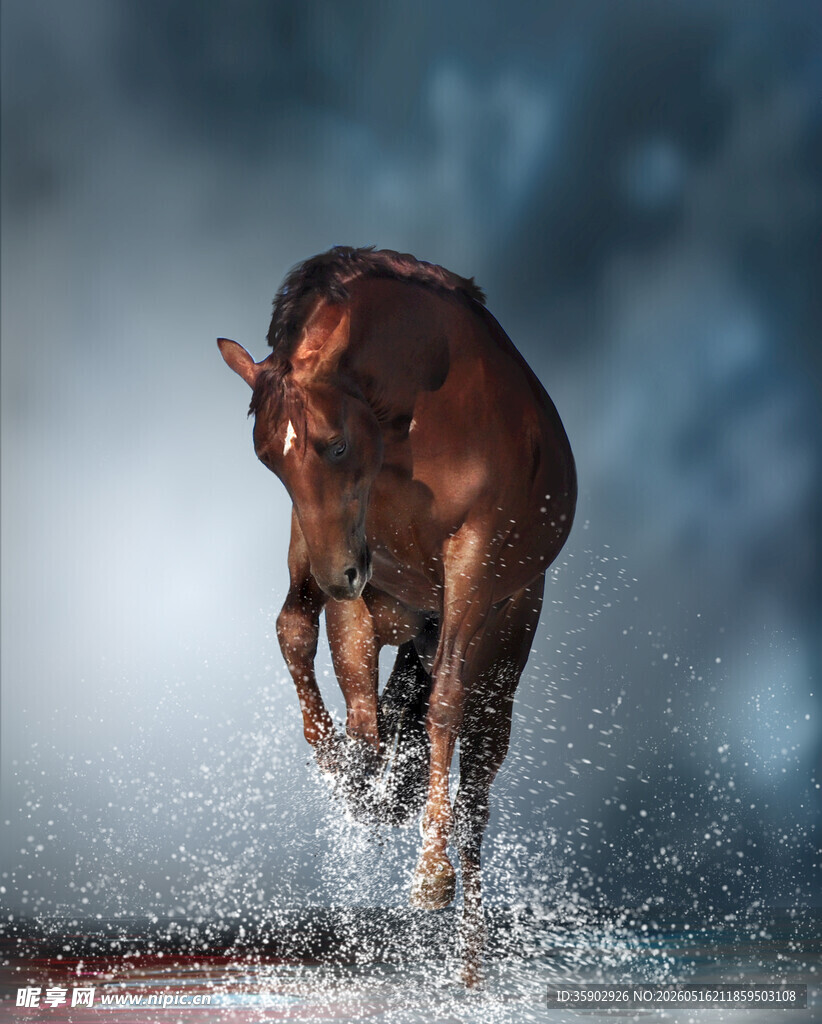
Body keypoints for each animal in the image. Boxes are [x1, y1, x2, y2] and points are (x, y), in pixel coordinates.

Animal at [218, 246, 576, 985]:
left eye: (333, 444)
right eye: (268, 458)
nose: (341, 577)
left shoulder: (471, 563)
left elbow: (441, 708)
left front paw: (430, 876)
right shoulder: (336, 553)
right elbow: (326, 667)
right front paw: (349, 774)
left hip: (506, 644)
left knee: (476, 790)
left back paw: (468, 959)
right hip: (382, 602)